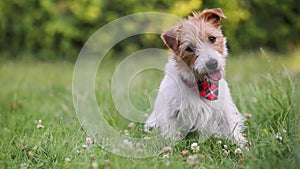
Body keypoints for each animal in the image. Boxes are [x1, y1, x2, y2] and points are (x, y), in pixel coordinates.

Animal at [144, 7, 247, 145]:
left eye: (212, 38)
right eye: (189, 48)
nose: (212, 64)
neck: (201, 84)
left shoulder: (223, 108)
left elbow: (231, 128)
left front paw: (241, 146)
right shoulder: (173, 114)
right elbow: (172, 135)